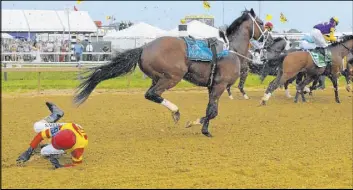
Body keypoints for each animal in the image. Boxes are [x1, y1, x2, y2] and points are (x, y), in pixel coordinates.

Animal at [73, 8, 264, 137]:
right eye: (262, 23)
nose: (265, 38)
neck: (232, 51)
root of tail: (144, 47)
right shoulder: (220, 85)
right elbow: (212, 112)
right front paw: (199, 126)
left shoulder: (212, 86)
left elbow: (211, 110)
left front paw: (199, 125)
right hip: (172, 77)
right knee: (152, 94)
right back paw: (176, 111)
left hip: (157, 77)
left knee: (152, 94)